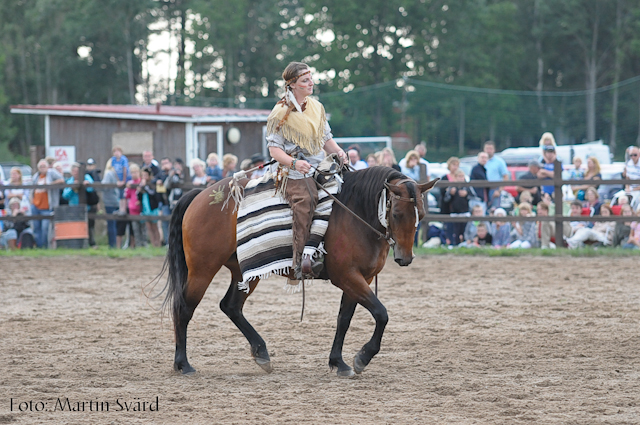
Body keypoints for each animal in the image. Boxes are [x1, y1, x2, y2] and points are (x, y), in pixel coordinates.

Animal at [162, 166, 438, 378]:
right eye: (397, 213)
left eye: (422, 214)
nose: (405, 258)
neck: (357, 212)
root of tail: (200, 195)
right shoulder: (347, 277)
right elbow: (381, 314)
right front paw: (362, 357)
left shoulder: (361, 279)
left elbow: (344, 319)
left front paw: (338, 362)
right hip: (202, 269)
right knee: (184, 308)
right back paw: (183, 364)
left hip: (245, 270)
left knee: (230, 306)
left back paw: (261, 353)